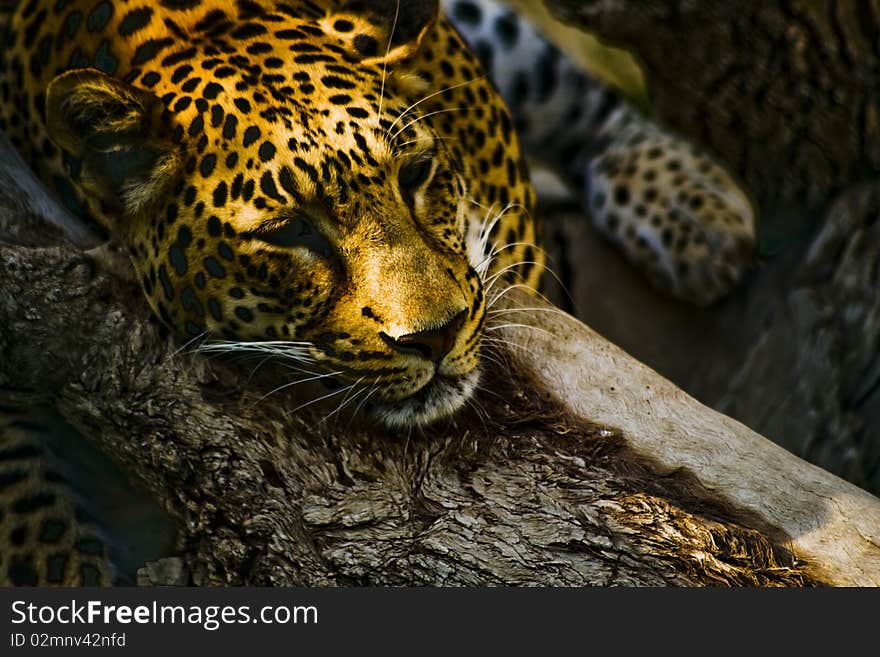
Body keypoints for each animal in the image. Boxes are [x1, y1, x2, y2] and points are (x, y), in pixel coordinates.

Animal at [0, 0, 756, 584]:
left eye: (415, 173)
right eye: (290, 231)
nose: (436, 335)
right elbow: (28, 502)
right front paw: (78, 571)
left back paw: (697, 213)